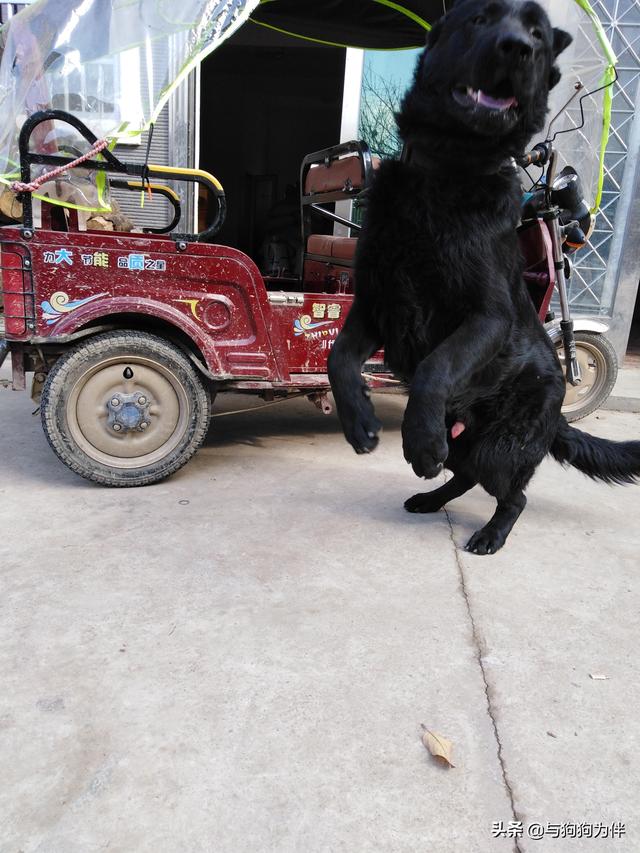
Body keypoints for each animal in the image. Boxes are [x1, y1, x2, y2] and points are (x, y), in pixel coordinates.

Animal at [328, 0, 640, 552]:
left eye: (538, 34)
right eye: (479, 20)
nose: (517, 48)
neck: (446, 174)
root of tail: (558, 407)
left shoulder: (486, 317)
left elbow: (435, 366)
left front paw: (418, 439)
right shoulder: (375, 304)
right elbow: (338, 358)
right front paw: (360, 423)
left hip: (500, 447)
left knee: (512, 494)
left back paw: (490, 532)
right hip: (467, 440)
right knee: (465, 473)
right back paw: (430, 497)